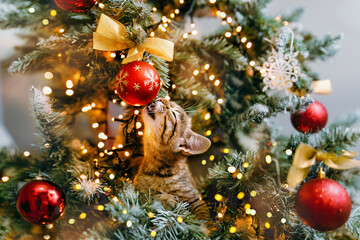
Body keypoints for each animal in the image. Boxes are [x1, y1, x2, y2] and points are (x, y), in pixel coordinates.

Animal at [135, 97, 214, 227]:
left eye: (173, 113)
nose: (161, 98)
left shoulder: (195, 198)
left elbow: (203, 215)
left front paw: (204, 228)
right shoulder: (136, 191)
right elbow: (145, 198)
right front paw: (164, 199)